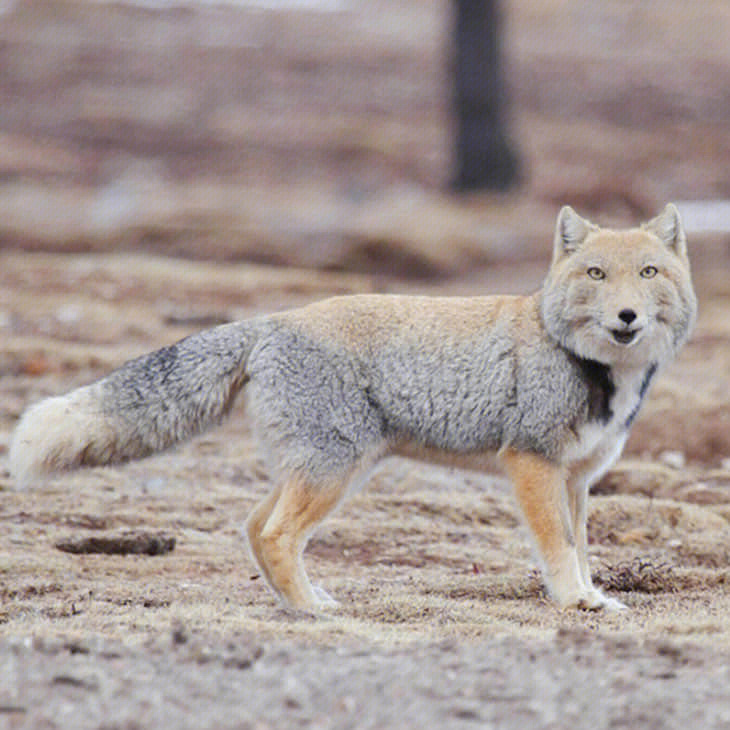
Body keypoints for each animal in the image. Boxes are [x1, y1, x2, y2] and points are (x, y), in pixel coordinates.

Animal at [9, 203, 692, 608]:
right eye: (597, 275)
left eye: (649, 273)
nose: (626, 317)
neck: (591, 365)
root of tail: (276, 319)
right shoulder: (532, 464)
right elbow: (559, 547)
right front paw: (575, 602)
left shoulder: (577, 478)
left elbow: (583, 549)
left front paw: (594, 597)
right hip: (334, 472)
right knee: (276, 534)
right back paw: (310, 611)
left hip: (328, 470)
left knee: (253, 526)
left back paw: (297, 604)